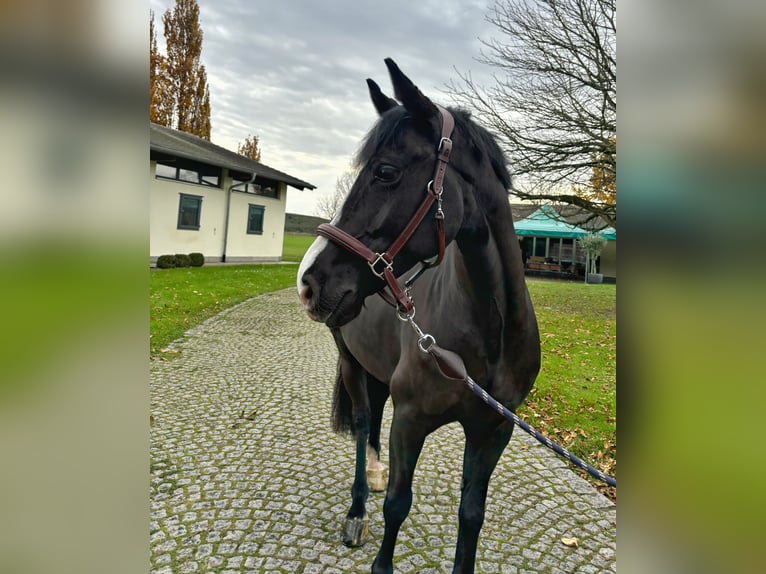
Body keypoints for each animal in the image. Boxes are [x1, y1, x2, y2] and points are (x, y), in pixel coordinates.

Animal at [296, 59, 544, 574]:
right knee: (364, 424)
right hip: (350, 364)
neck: (488, 337)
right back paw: (357, 507)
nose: (308, 282)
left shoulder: (494, 430)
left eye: (386, 171)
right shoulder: (410, 421)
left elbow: (471, 514)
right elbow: (397, 504)